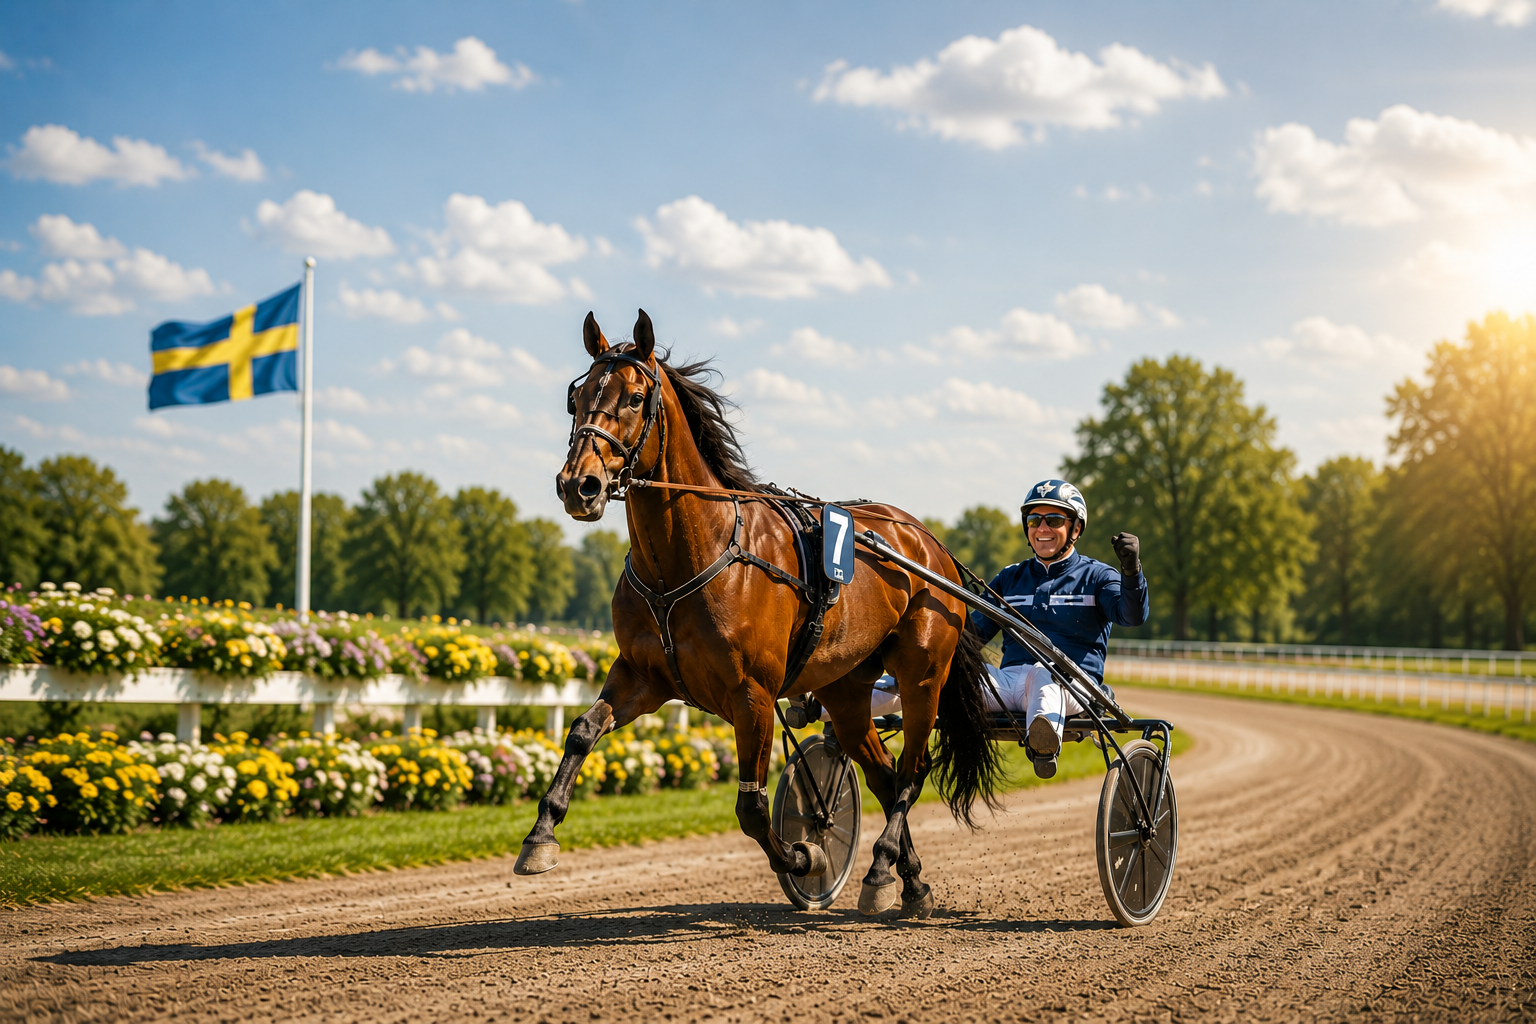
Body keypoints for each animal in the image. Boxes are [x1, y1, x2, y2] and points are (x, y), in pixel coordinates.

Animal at [514, 308, 1002, 917]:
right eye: (576, 398)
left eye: (634, 397)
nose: (578, 485)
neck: (690, 557)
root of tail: (931, 544)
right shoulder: (643, 676)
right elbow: (582, 731)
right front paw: (540, 836)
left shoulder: (754, 696)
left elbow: (751, 808)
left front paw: (805, 855)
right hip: (846, 687)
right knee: (886, 778)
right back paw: (905, 880)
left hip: (922, 673)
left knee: (913, 771)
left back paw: (880, 866)